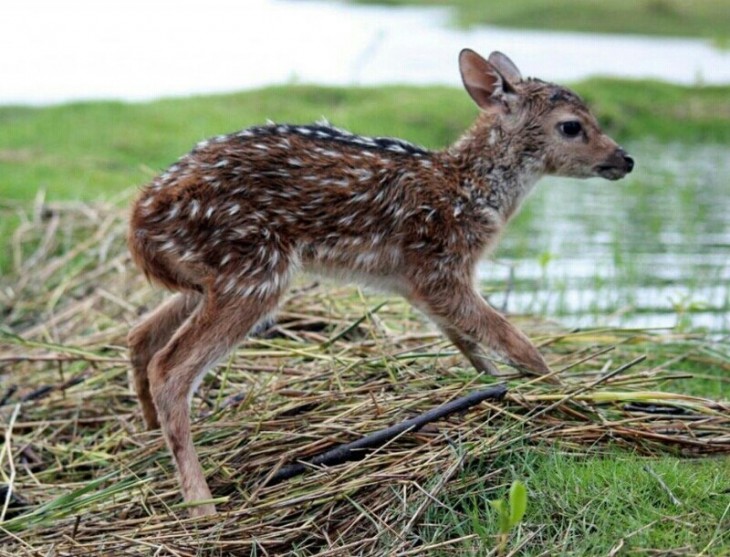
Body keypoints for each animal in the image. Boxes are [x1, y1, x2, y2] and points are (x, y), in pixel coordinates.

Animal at [126, 50, 632, 516]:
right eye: (572, 126)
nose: (624, 159)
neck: (469, 193)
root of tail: (138, 223)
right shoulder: (438, 267)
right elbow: (515, 340)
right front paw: (567, 393)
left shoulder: (417, 284)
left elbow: (469, 343)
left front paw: (500, 388)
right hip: (252, 268)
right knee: (170, 368)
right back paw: (202, 506)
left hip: (209, 277)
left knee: (141, 335)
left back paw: (148, 438)